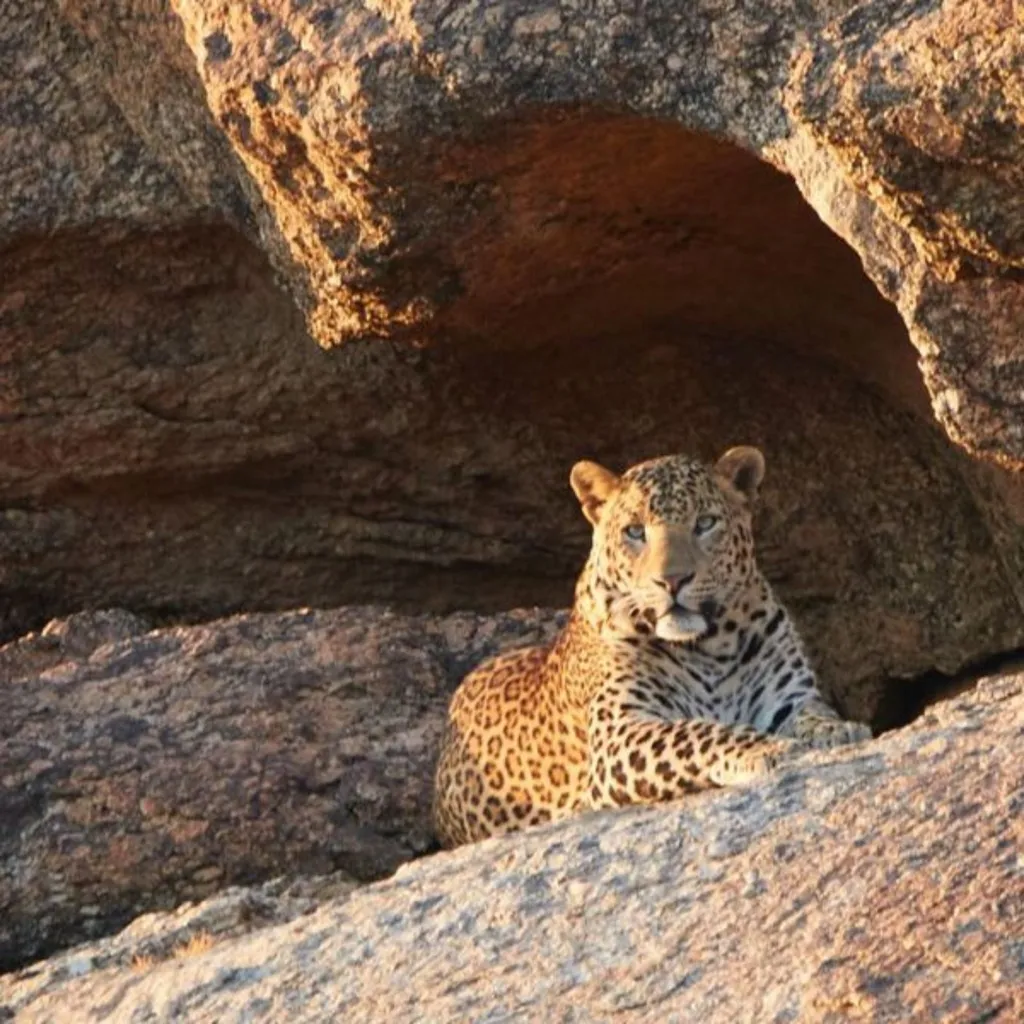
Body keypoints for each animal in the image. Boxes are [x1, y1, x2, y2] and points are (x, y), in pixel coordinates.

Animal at [432, 446, 872, 848]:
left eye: (705, 523)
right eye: (635, 531)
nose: (672, 581)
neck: (711, 645)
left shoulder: (788, 698)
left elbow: (815, 714)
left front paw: (838, 730)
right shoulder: (619, 733)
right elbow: (695, 731)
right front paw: (766, 748)